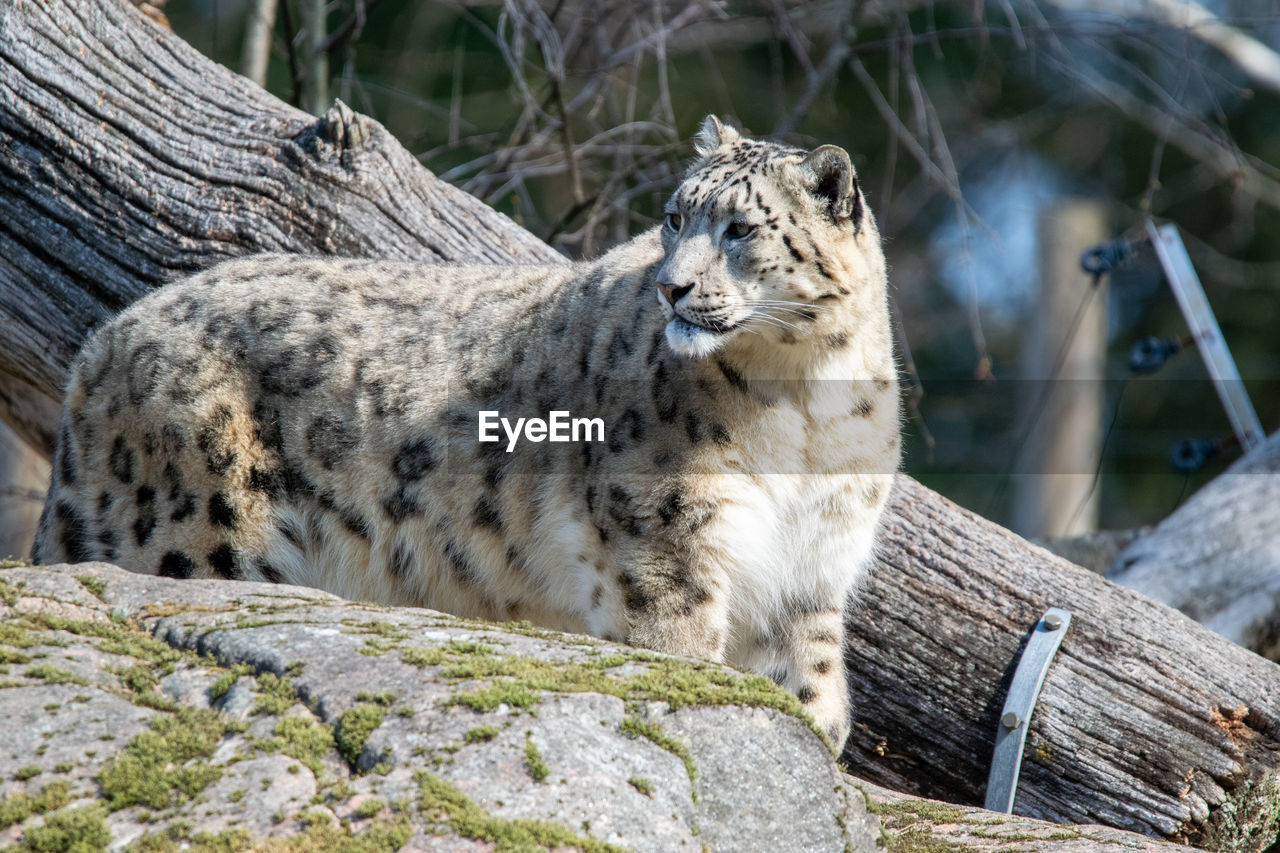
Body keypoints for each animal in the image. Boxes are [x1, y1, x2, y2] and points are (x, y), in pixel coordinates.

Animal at [35, 117, 906, 742]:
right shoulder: (666, 541)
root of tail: (102, 343)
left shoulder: (812, 566)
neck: (802, 406)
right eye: (674, 216)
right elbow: (679, 649)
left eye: (741, 229)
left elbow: (809, 679)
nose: (672, 287)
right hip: (196, 534)